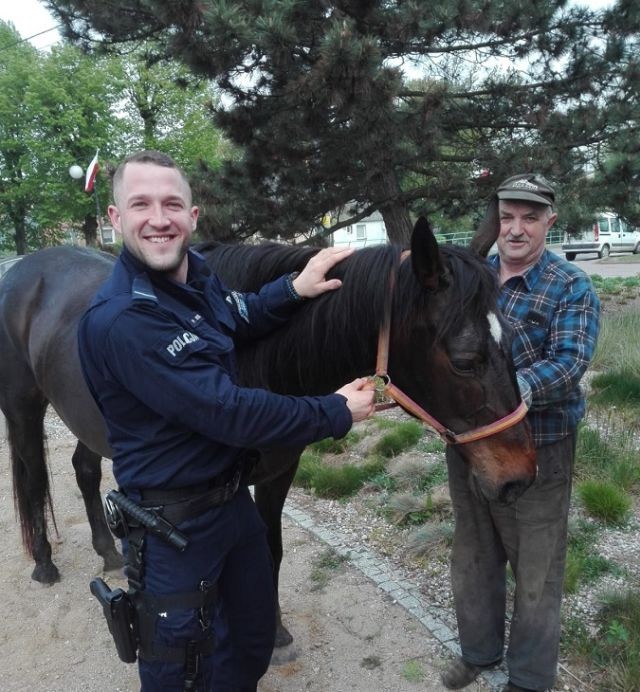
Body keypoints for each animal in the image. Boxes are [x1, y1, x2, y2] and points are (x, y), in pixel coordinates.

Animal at [0, 220, 536, 648]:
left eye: (512, 338)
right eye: (465, 360)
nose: (520, 477)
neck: (254, 360)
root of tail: (25, 268)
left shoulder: (279, 474)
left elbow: (270, 553)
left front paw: (274, 631)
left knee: (85, 471)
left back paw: (108, 551)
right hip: (23, 410)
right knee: (32, 477)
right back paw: (44, 562)